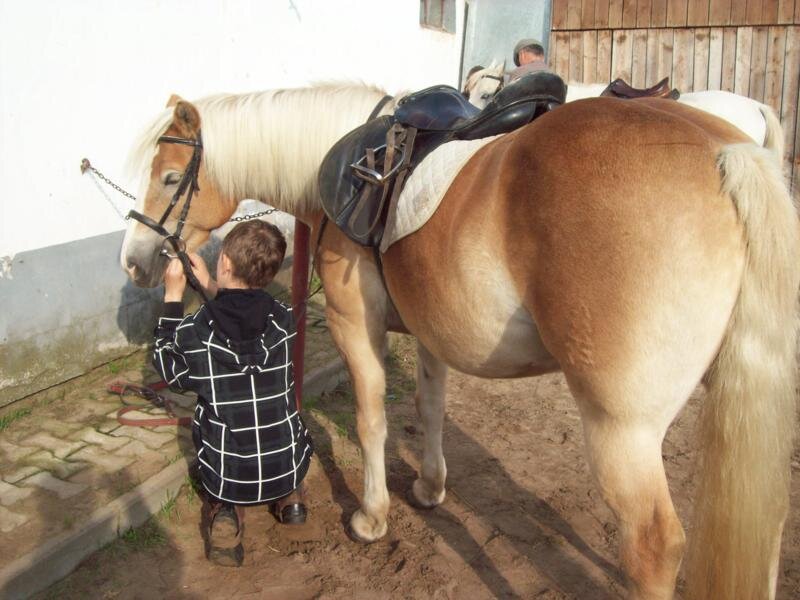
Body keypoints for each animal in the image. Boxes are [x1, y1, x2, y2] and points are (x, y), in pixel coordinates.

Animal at [121, 82, 799, 599]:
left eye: (172, 178)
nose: (135, 260)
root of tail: (728, 151)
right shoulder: (430, 330)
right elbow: (430, 407)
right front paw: (429, 488)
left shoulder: (353, 324)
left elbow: (371, 419)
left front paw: (372, 516)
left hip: (622, 429)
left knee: (653, 545)